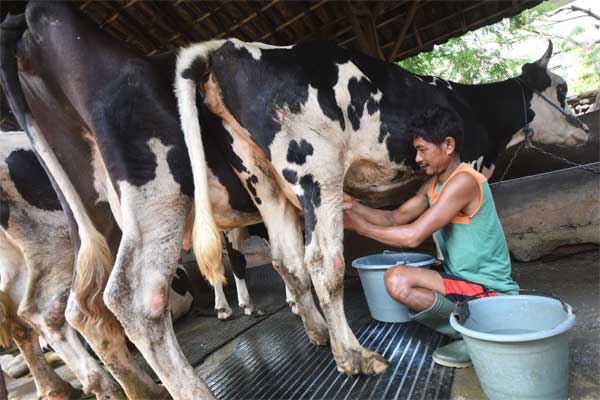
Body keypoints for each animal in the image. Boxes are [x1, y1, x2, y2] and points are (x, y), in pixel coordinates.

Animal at [176, 37, 588, 376]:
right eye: (562, 88)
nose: (585, 129)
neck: (474, 108)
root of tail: (230, 47)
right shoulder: (472, 160)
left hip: (262, 179)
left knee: (286, 262)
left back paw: (319, 333)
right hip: (317, 169)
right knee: (322, 262)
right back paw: (354, 355)